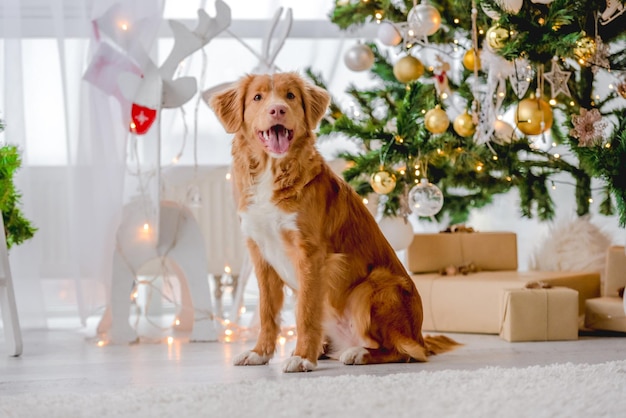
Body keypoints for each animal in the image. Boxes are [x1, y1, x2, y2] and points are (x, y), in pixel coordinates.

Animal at [210, 72, 458, 372]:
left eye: (290, 96)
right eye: (258, 97)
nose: (277, 109)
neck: (274, 171)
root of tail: (420, 335)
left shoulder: (311, 255)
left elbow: (305, 313)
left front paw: (302, 357)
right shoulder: (261, 256)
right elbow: (267, 312)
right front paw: (260, 353)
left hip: (373, 286)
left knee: (406, 351)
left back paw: (358, 353)